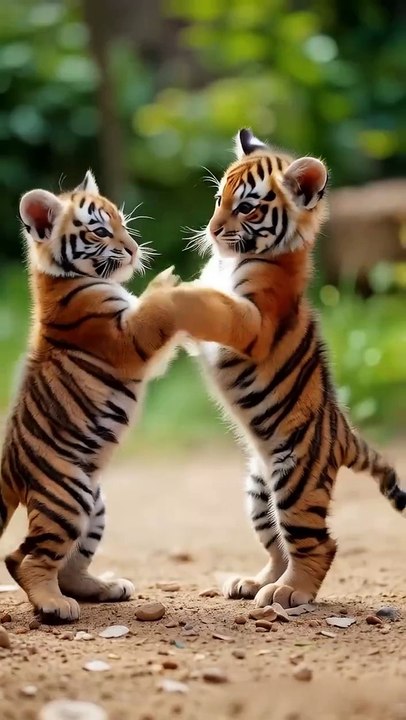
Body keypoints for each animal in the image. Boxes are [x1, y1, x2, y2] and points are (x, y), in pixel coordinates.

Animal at [184, 128, 406, 609]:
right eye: (218, 198)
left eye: (246, 207)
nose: (211, 230)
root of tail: (345, 434)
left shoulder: (252, 321)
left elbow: (206, 305)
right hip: (259, 490)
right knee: (278, 545)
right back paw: (255, 584)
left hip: (295, 482)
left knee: (318, 544)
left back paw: (288, 592)